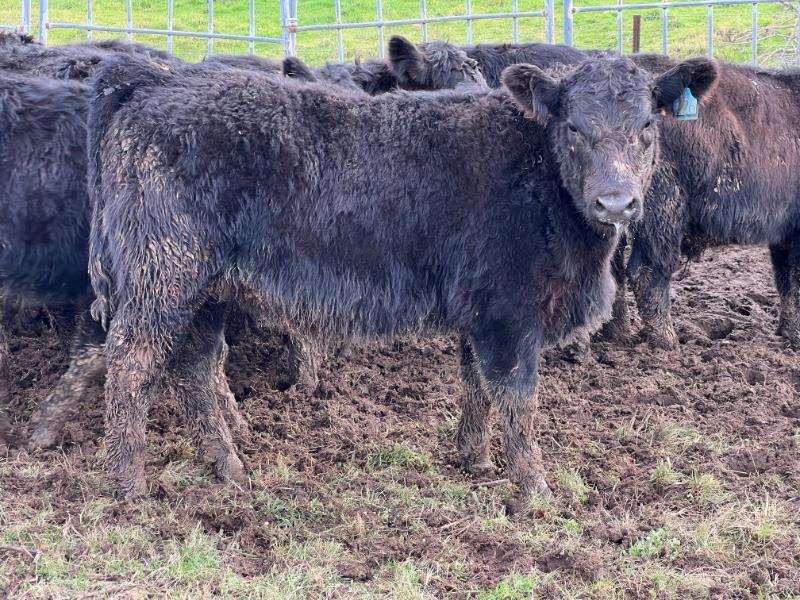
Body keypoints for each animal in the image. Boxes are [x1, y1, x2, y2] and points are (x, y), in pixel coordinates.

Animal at [86, 52, 712, 502]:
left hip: (207, 289)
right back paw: (129, 484)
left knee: (193, 368)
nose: (616, 202)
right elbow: (518, 399)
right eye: (575, 128)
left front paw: (472, 457)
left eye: (647, 125)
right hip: (163, 274)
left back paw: (228, 468)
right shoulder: (508, 313)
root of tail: (155, 84)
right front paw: (534, 488)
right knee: (132, 364)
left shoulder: (480, 311)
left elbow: (476, 385)